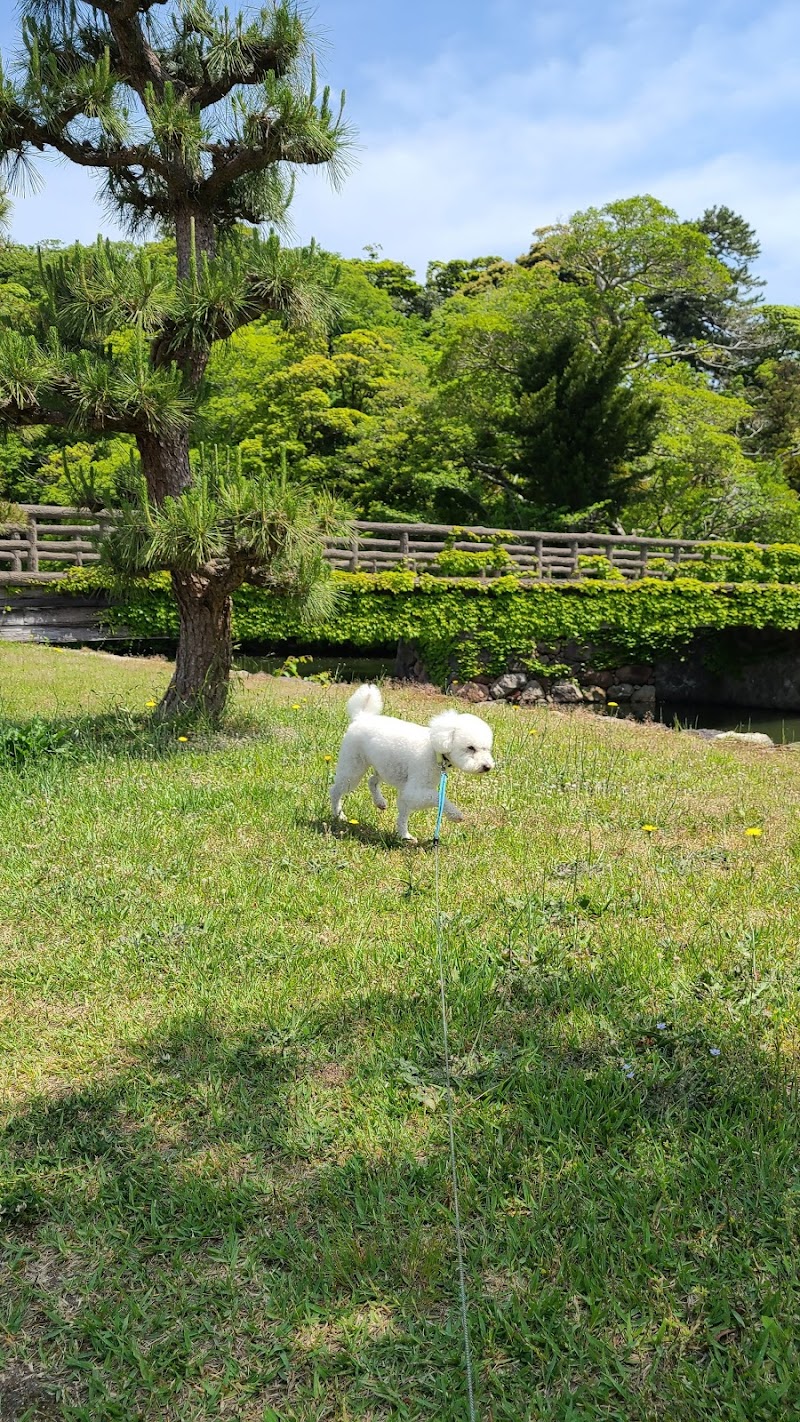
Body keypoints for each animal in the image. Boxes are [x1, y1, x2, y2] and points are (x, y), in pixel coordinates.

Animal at [329, 682, 494, 836]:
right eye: (470, 747)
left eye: (486, 749)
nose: (487, 767)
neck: (434, 749)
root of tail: (361, 717)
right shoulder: (415, 790)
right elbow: (437, 797)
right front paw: (455, 814)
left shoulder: (407, 791)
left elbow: (403, 813)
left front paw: (404, 835)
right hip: (353, 766)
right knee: (336, 790)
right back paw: (339, 814)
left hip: (385, 766)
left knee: (372, 781)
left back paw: (380, 802)